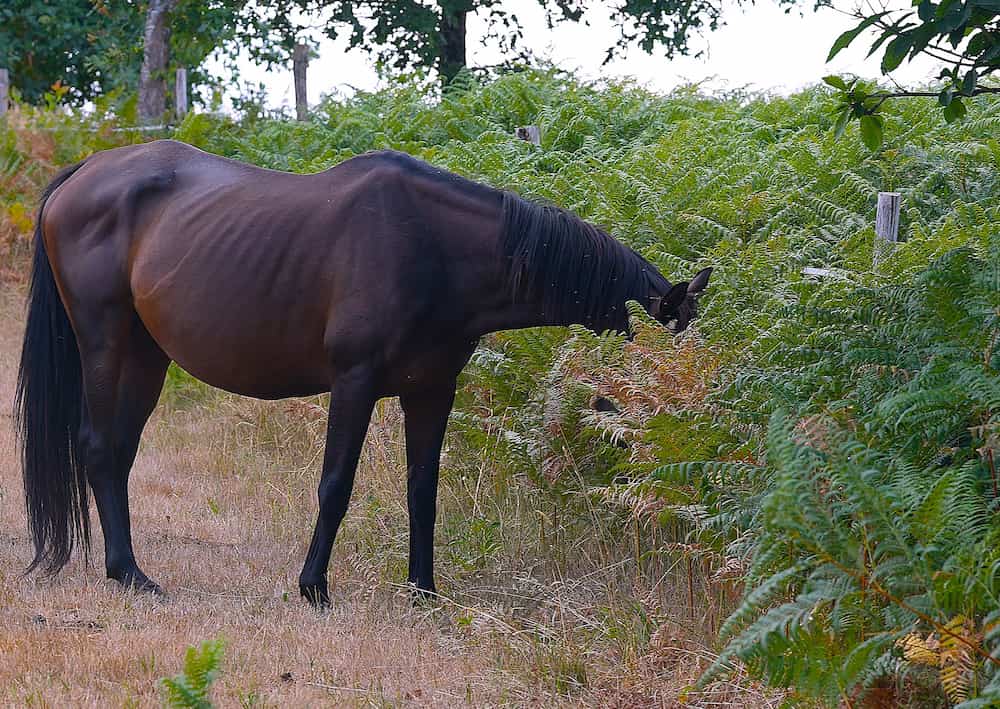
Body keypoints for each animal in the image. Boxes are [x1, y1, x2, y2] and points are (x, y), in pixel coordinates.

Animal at [15, 140, 712, 606]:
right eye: (662, 350)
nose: (678, 425)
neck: (436, 248)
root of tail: (83, 175)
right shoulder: (354, 383)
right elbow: (336, 485)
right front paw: (313, 587)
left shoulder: (431, 392)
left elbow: (423, 491)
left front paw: (423, 591)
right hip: (104, 343)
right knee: (98, 448)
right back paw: (129, 575)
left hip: (147, 357)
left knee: (119, 453)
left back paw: (127, 569)